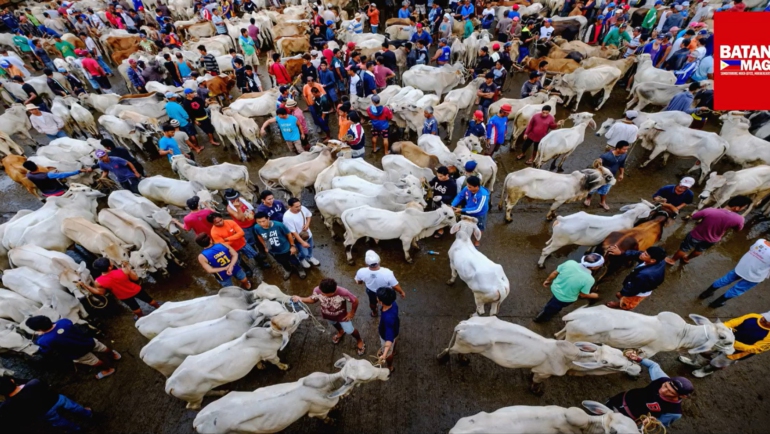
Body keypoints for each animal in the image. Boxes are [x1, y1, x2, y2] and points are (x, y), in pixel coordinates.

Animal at [165, 310, 306, 408]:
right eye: (293, 322)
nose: (303, 312)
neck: (270, 336)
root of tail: (170, 385)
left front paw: (260, 365)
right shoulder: (270, 354)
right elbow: (277, 362)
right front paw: (284, 366)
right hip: (195, 396)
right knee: (193, 406)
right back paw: (220, 393)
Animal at [190, 354, 388, 432]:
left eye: (367, 363)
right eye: (365, 379)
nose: (386, 372)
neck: (329, 387)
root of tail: (199, 420)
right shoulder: (318, 412)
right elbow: (325, 417)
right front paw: (332, 421)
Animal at [436, 316, 640, 394]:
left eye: (620, 353)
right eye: (616, 365)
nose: (637, 368)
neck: (568, 360)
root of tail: (464, 324)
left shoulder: (538, 369)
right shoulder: (545, 372)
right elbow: (537, 382)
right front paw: (537, 391)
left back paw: (463, 360)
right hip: (463, 345)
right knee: (450, 350)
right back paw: (443, 358)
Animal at [552, 306, 732, 356]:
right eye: (724, 339)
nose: (733, 351)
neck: (683, 333)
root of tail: (573, 316)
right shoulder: (651, 350)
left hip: (569, 329)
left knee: (557, 334)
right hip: (573, 338)